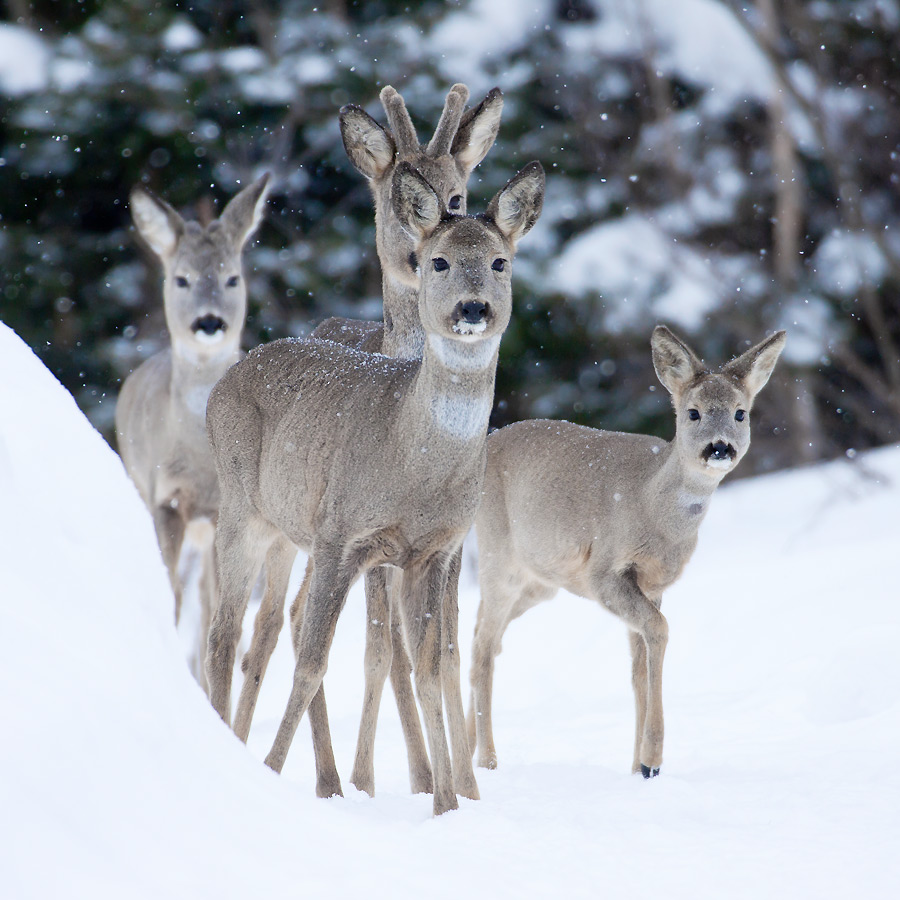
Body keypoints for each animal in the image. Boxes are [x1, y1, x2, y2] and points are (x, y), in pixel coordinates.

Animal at [115, 174, 270, 691]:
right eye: (180, 278)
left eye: (232, 278)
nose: (208, 322)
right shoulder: (165, 496)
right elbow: (173, 596)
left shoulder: (227, 507)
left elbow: (219, 613)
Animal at [204, 159, 545, 815]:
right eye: (438, 261)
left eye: (500, 262)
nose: (472, 308)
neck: (414, 466)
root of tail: (224, 380)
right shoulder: (343, 534)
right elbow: (314, 664)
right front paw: (273, 772)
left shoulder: (432, 553)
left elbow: (430, 667)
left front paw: (447, 805)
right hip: (239, 509)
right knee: (222, 635)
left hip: (288, 531)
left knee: (265, 628)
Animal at [467, 326, 786, 779]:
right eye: (693, 413)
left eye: (741, 413)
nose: (719, 447)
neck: (654, 509)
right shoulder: (604, 573)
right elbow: (660, 630)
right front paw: (652, 759)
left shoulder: (655, 583)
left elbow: (639, 669)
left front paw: (638, 767)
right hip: (498, 556)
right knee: (482, 647)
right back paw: (488, 760)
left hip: (538, 584)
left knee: (484, 636)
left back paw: (468, 749)